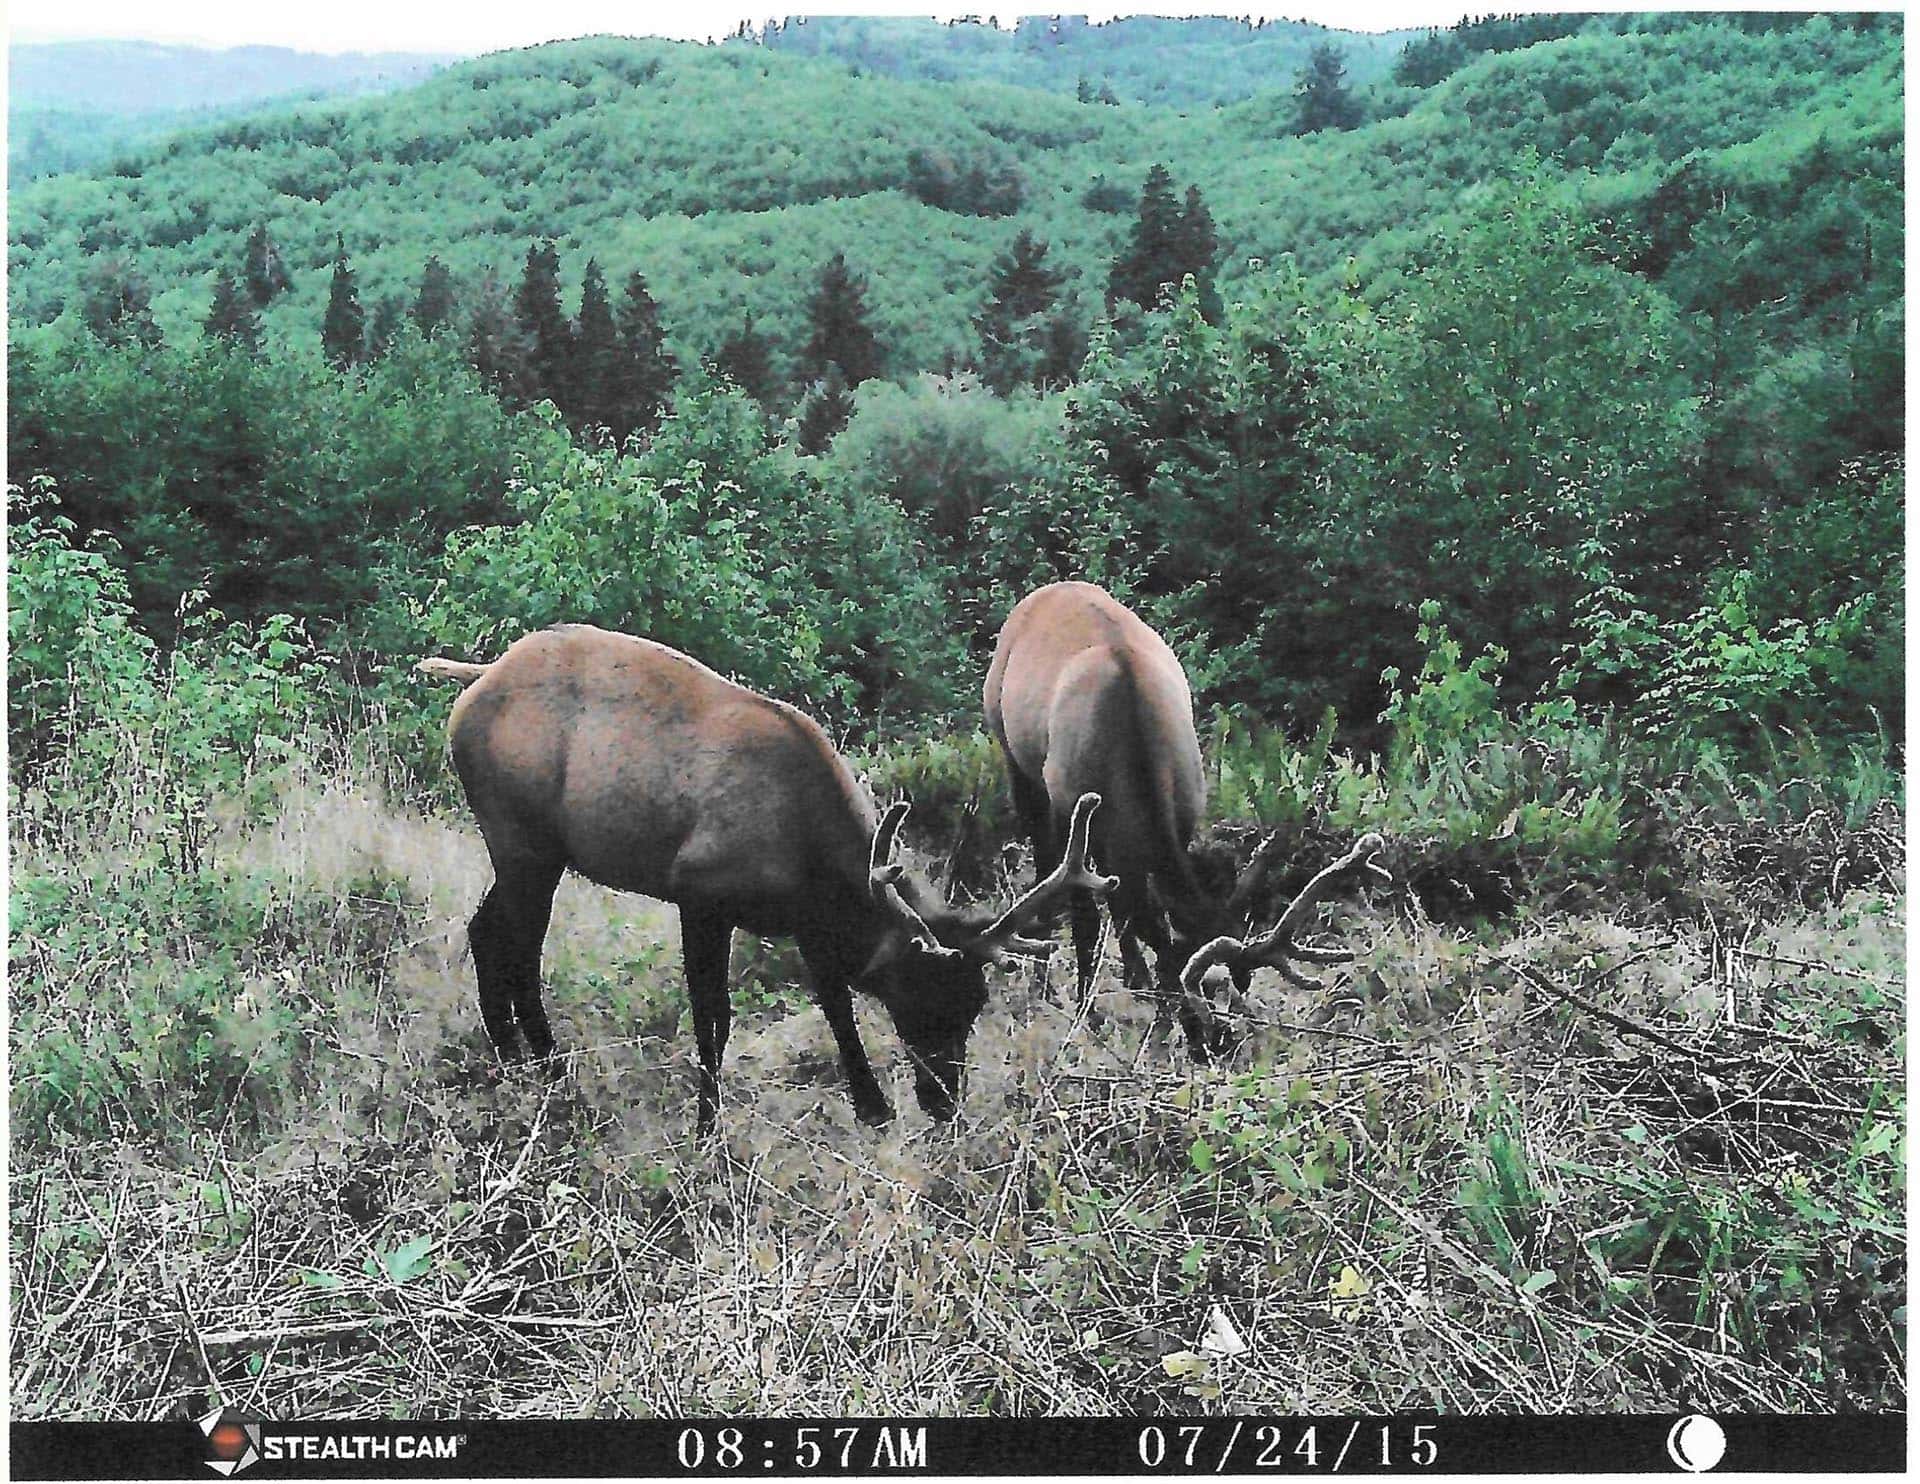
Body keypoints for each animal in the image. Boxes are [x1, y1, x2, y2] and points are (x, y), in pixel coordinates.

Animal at [418, 623, 1114, 1139]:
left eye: (975, 1004)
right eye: (919, 998)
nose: (945, 1104)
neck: (811, 863)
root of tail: (476, 679)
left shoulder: (804, 922)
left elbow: (833, 1001)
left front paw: (872, 1107)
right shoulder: (699, 893)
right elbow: (714, 1014)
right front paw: (707, 1123)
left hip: (529, 849)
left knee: (486, 930)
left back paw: (513, 1060)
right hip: (523, 839)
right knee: (516, 943)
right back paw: (549, 1070)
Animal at [983, 582, 1388, 1058]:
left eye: (1239, 982)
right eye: (1187, 985)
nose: (1216, 1043)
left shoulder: (1180, 813)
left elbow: (1134, 901)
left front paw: (1135, 981)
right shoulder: (1067, 801)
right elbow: (1087, 913)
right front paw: (1088, 1009)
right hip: (1015, 754)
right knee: (1048, 862)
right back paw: (1044, 971)